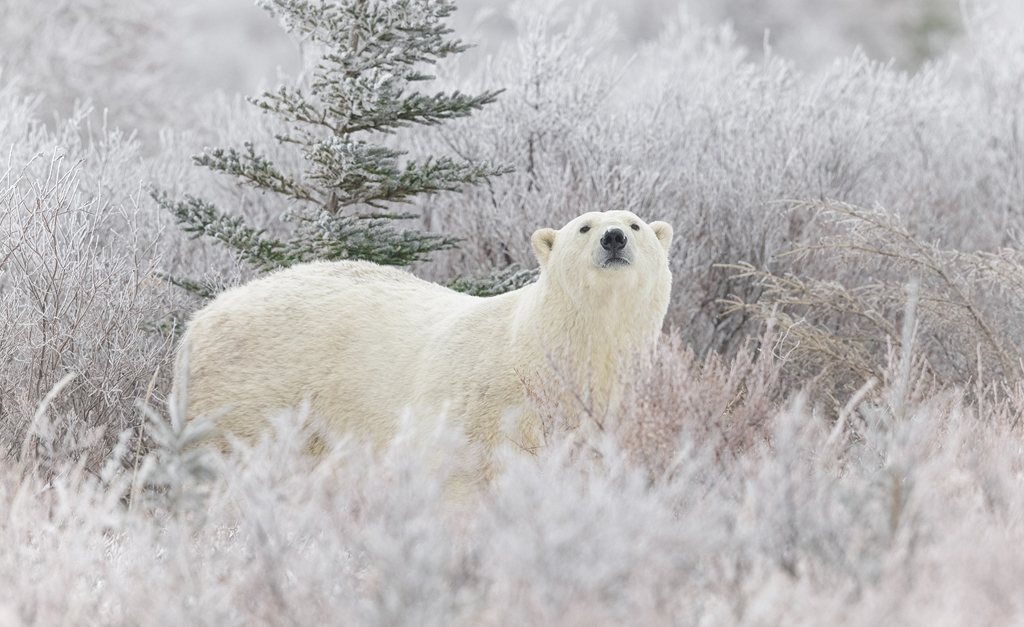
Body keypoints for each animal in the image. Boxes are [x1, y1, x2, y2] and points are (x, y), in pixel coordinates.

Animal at [174, 211, 671, 479]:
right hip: (251, 393)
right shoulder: (478, 409)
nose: (613, 237)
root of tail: (200, 319)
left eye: (636, 225)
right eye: (584, 227)